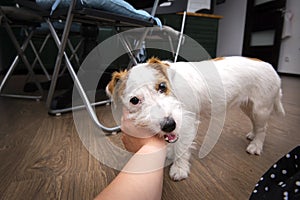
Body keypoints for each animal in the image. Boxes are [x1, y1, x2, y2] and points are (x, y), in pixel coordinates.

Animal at [106, 56, 286, 181]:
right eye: (134, 100)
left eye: (162, 86)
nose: (169, 125)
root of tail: (271, 67)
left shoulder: (185, 124)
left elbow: (181, 149)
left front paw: (179, 169)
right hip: (248, 106)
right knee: (256, 124)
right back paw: (252, 135)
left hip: (261, 108)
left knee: (263, 128)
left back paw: (256, 145)